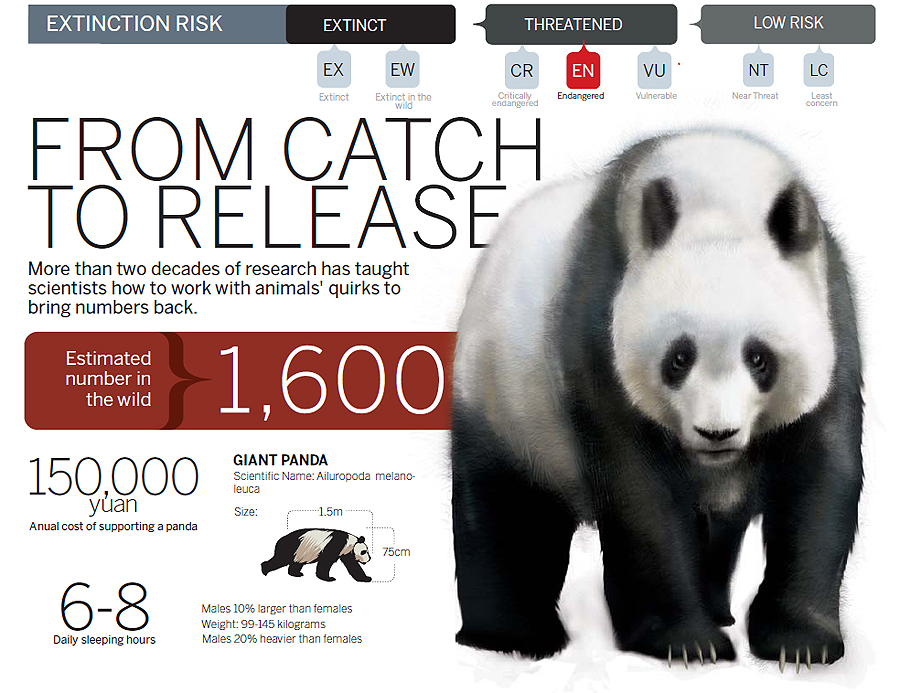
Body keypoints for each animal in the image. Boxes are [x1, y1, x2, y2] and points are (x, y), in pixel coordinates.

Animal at [452, 130, 863, 668]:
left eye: (759, 358)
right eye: (679, 358)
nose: (717, 432)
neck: (720, 180)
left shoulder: (833, 315)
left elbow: (819, 482)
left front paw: (800, 642)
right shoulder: (596, 330)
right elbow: (638, 491)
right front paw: (684, 641)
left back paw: (718, 609)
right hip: (506, 394)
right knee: (505, 510)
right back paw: (515, 636)